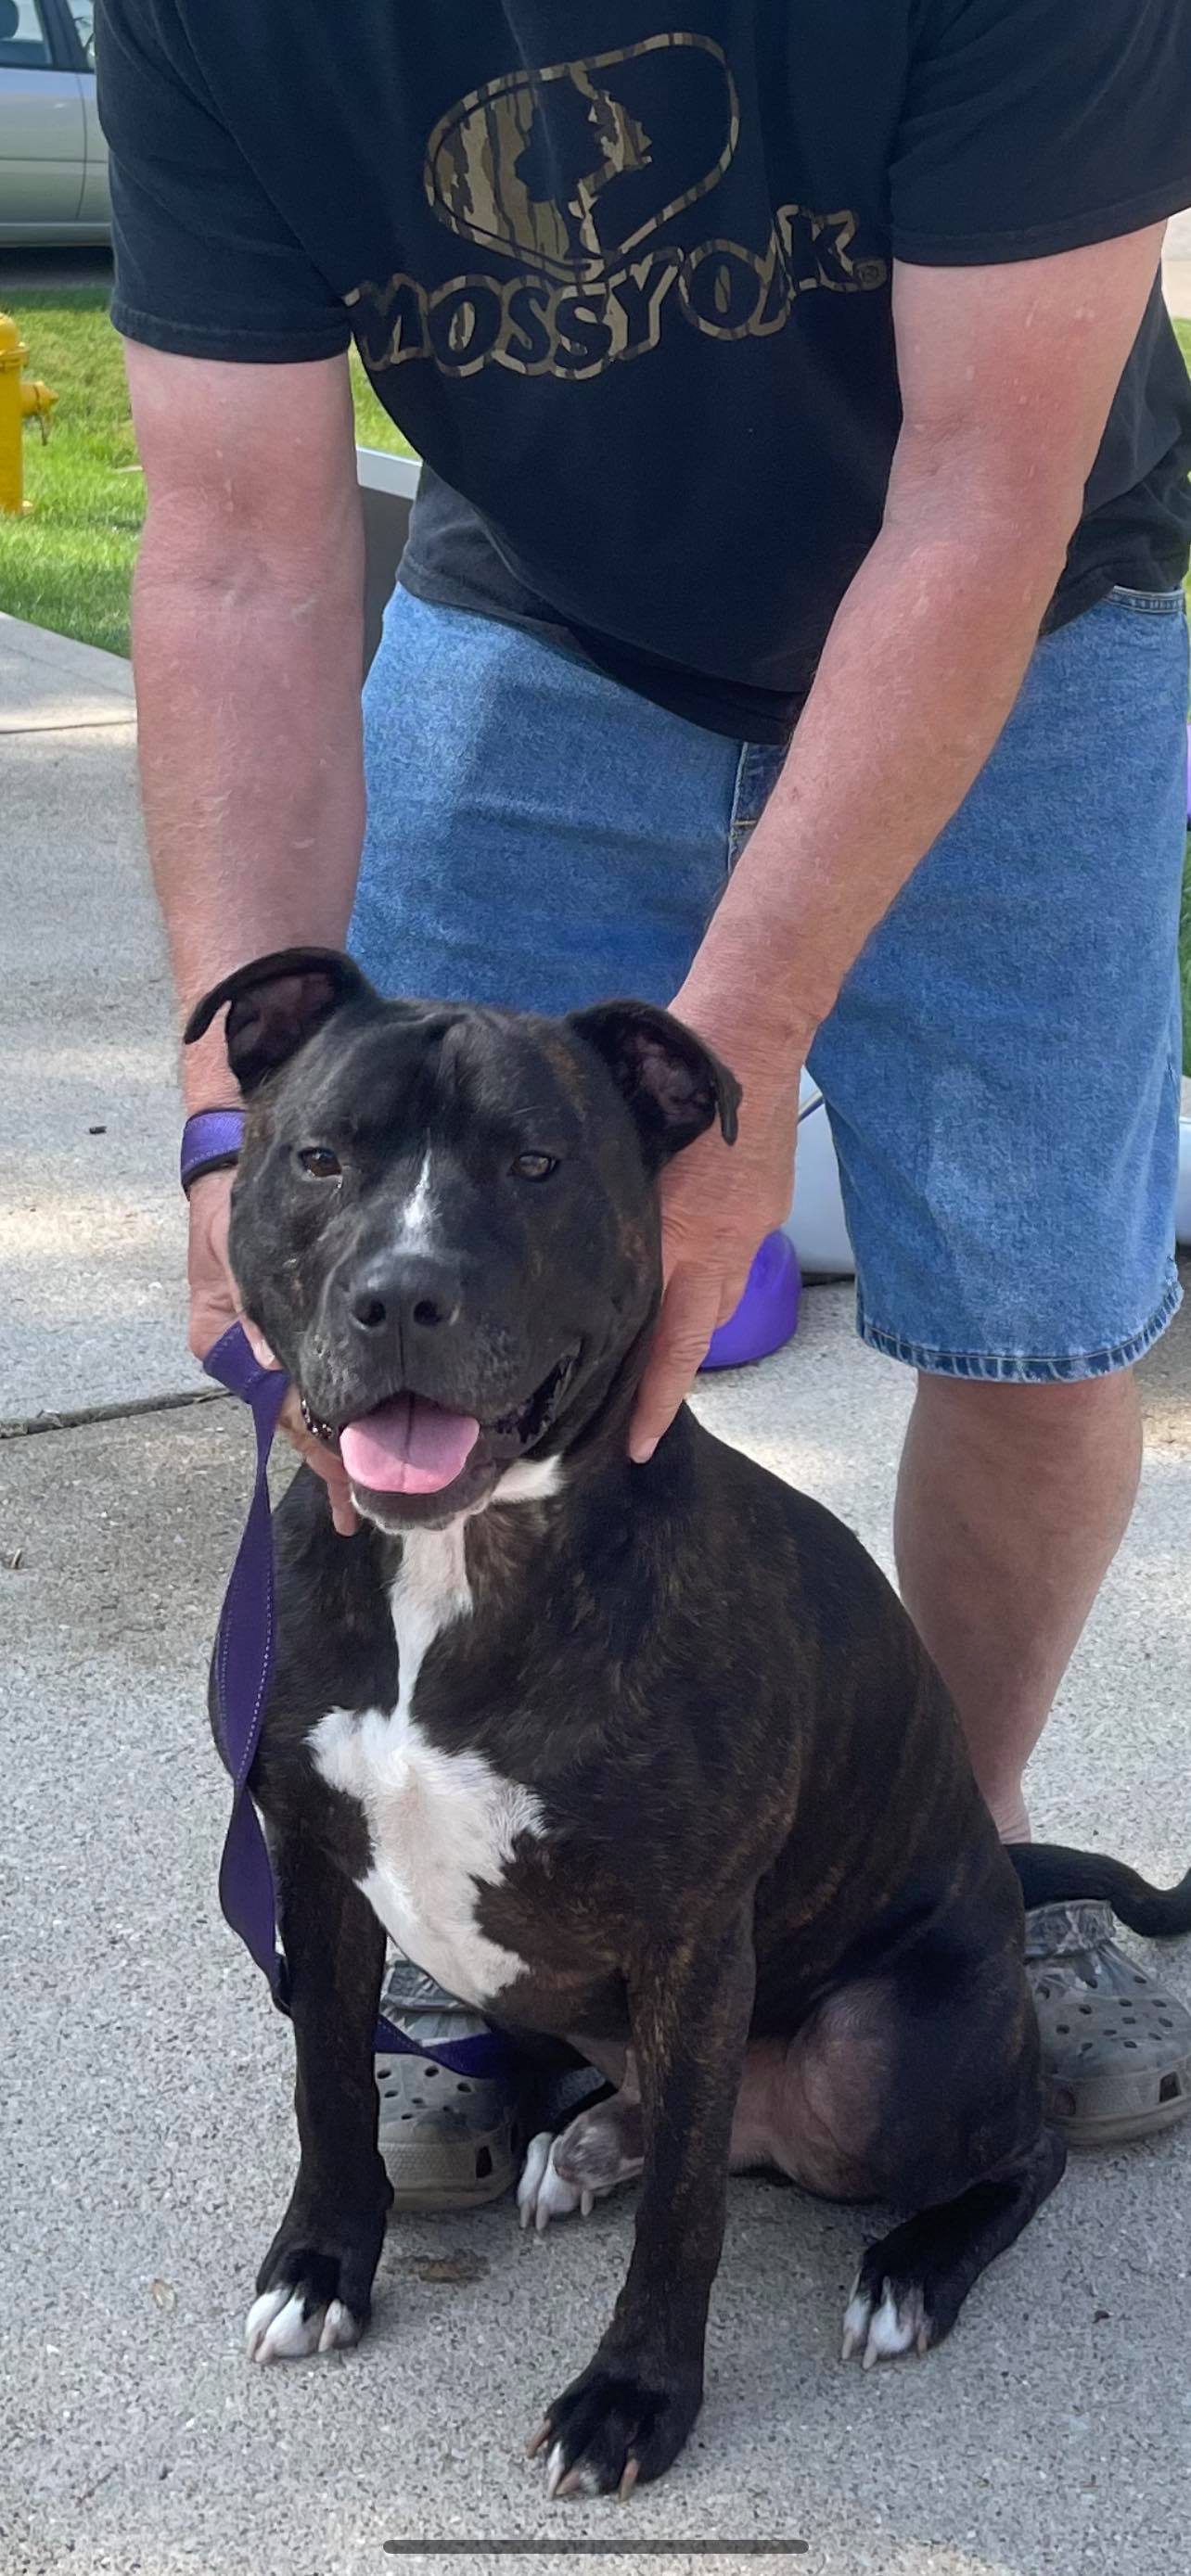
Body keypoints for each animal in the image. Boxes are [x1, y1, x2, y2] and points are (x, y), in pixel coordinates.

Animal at [186, 942, 1191, 2493]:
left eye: (538, 1162)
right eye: (320, 1156)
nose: (403, 1295)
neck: (456, 1559)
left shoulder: (694, 1935)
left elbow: (683, 2223)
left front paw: (632, 2397)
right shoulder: (318, 1873)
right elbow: (330, 2084)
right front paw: (321, 2263)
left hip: (881, 2054)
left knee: (1010, 2149)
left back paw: (907, 2268)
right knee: (686, 2122)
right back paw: (593, 2139)